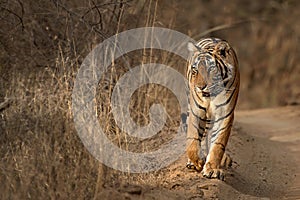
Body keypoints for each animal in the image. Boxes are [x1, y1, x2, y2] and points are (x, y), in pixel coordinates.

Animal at [185, 37, 239, 180]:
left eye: (211, 69)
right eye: (195, 70)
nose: (200, 87)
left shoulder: (225, 114)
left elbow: (218, 144)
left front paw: (212, 169)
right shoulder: (196, 111)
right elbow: (192, 140)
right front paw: (197, 162)